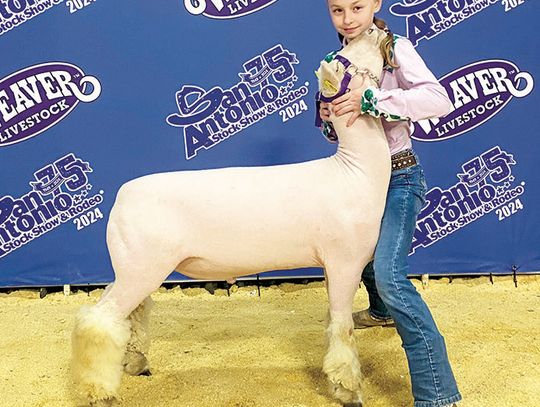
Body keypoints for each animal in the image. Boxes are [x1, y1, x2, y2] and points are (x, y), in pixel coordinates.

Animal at [71, 26, 390, 407]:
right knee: (100, 319)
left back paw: (137, 364)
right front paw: (349, 391)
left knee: (131, 314)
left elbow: (332, 321)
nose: (380, 27)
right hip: (141, 265)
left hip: (131, 266)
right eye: (348, 54)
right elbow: (343, 326)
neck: (355, 171)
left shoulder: (330, 263)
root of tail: (122, 197)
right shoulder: (345, 259)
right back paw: (98, 392)